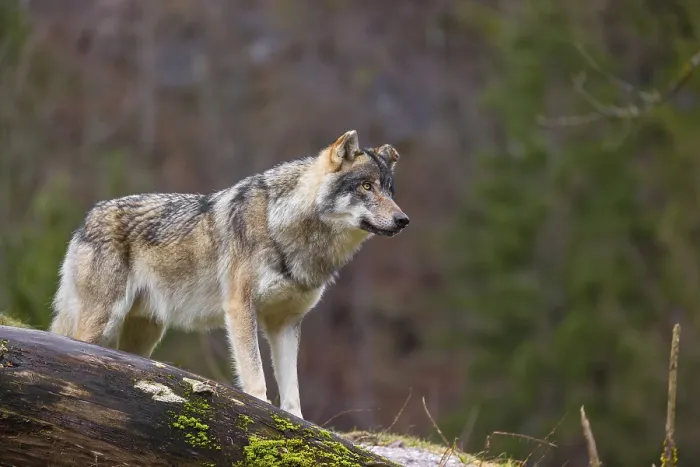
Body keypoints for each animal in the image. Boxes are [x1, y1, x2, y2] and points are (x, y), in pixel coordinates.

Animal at [49, 130, 409, 419]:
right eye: (366, 186)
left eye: (390, 191)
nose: (403, 220)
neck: (283, 224)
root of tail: (87, 219)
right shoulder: (240, 307)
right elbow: (256, 378)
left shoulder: (286, 323)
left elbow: (292, 394)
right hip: (101, 323)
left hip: (142, 338)